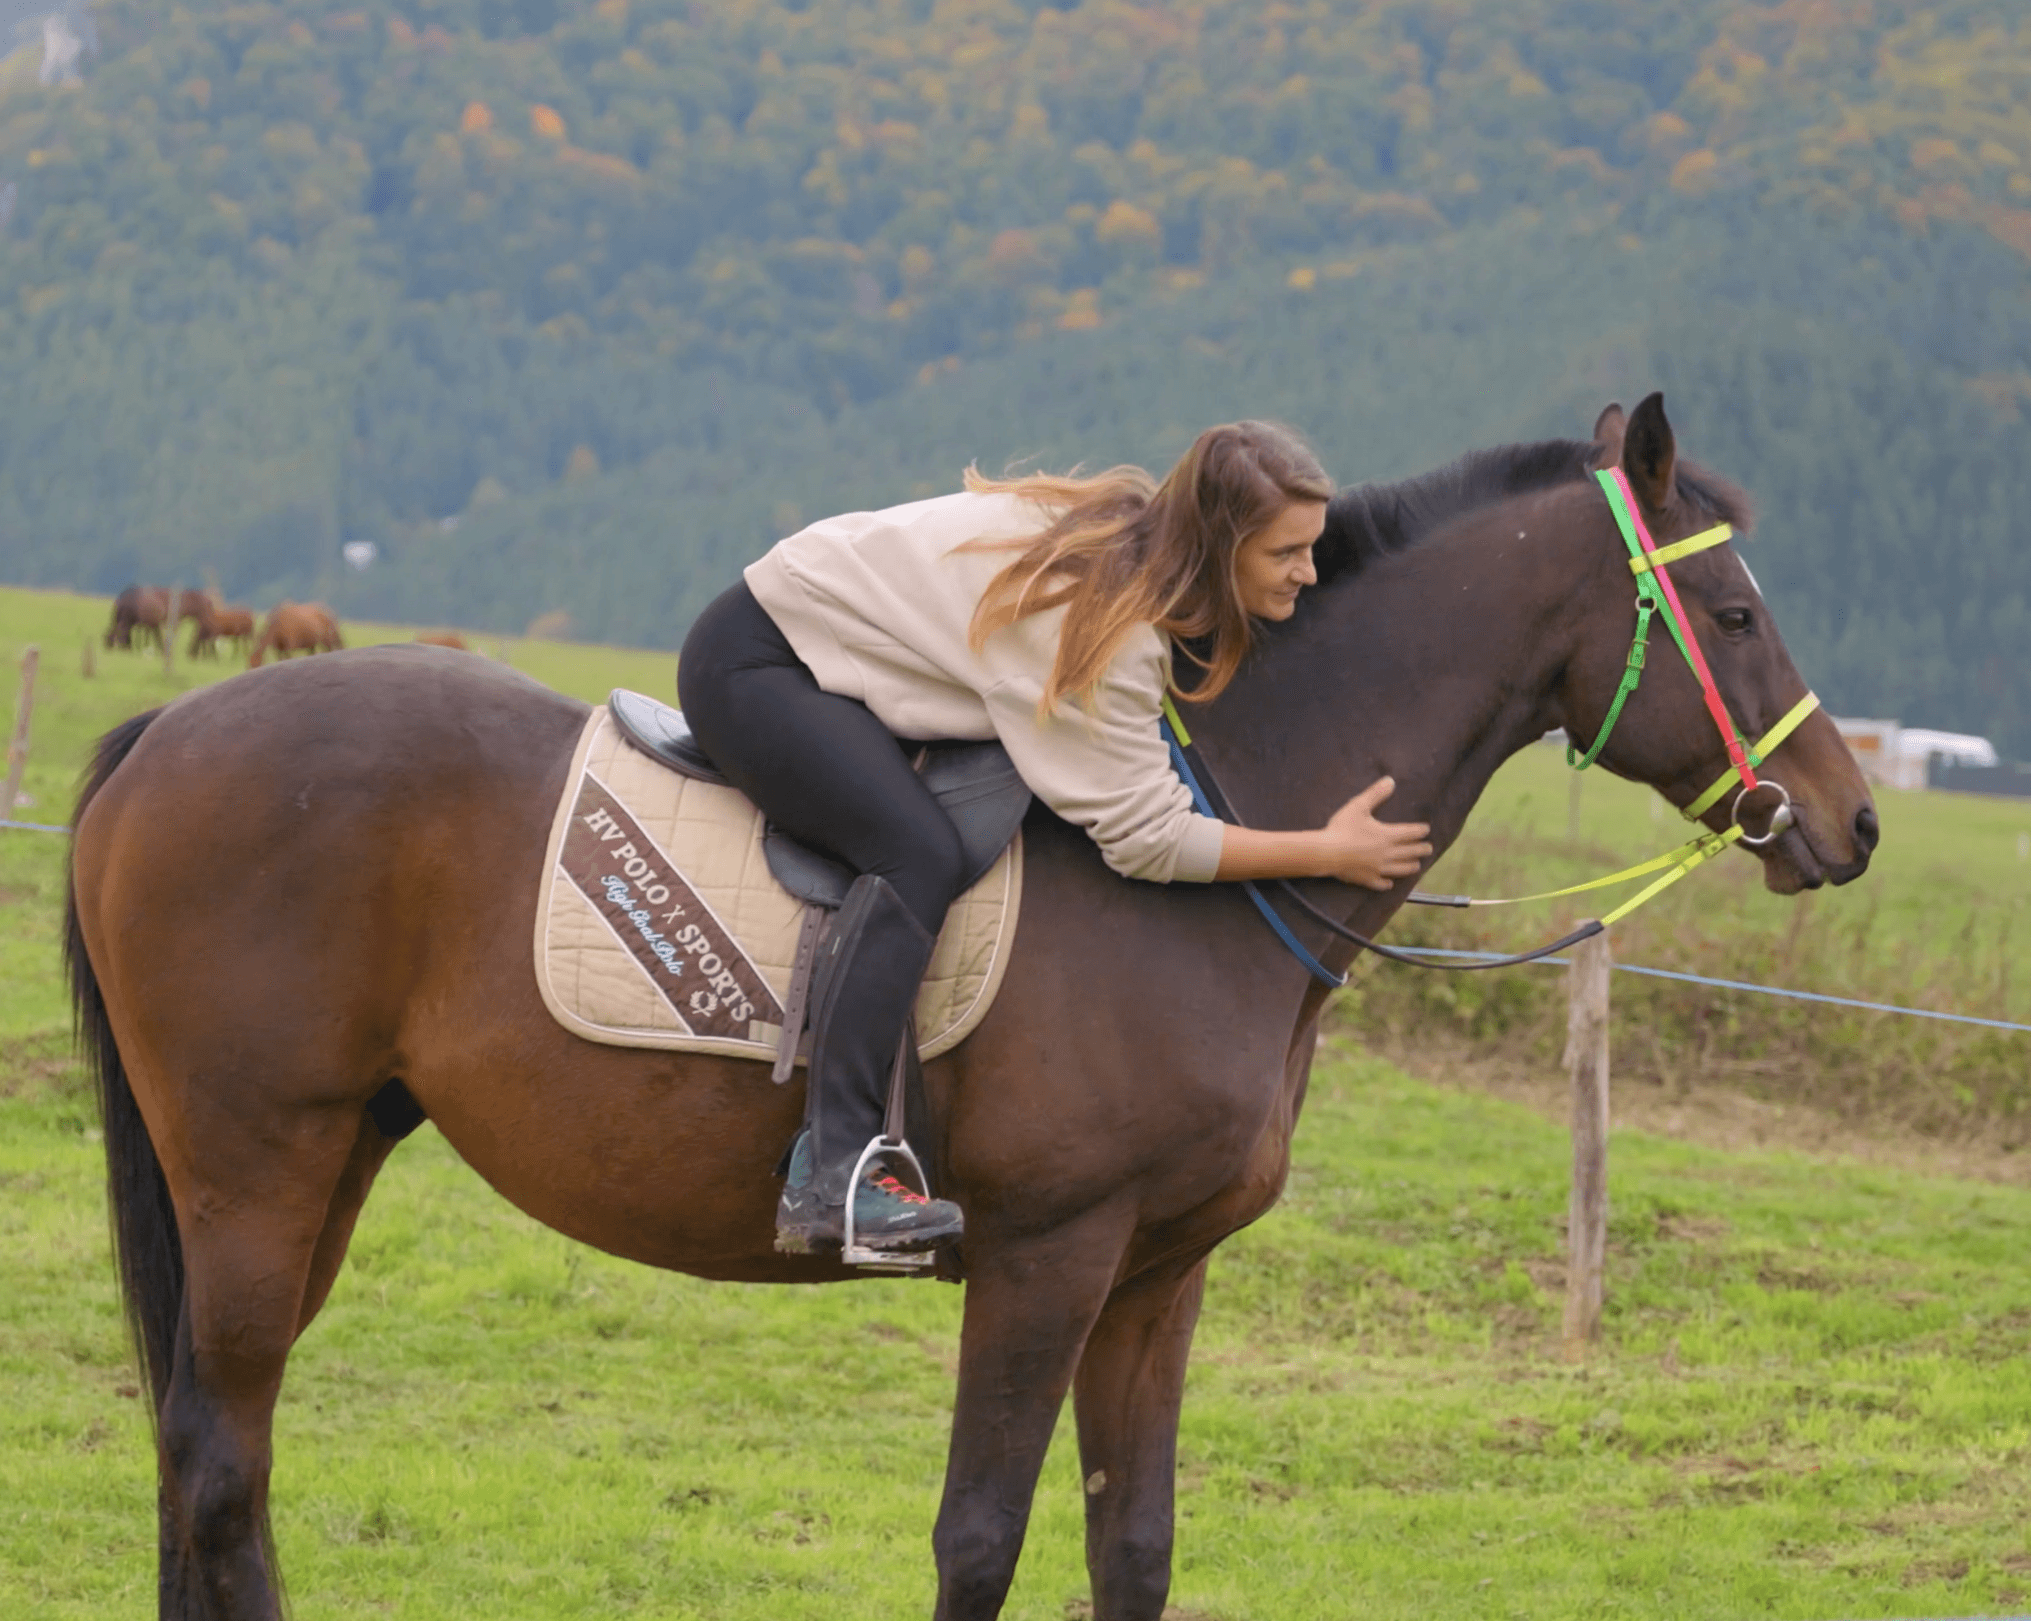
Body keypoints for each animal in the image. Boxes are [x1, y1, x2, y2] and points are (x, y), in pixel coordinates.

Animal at [63, 396, 1868, 1621]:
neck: (1212, 848)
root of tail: (171, 733)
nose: (1846, 822)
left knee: (198, 1446)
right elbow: (979, 1536)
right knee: (219, 1461)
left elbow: (1129, 1543)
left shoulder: (1154, 1277)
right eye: (1732, 614)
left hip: (319, 1166)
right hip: (256, 1163)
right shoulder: (1045, 1258)